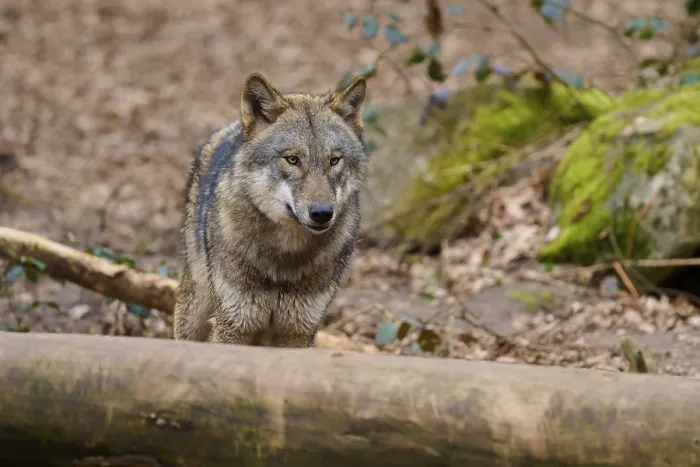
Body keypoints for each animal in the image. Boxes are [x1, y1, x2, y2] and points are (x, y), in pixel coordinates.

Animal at [173, 72, 369, 348]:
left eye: (333, 161)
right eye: (292, 159)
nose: (322, 213)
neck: (285, 256)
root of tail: (229, 129)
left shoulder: (299, 332)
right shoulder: (233, 327)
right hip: (194, 310)